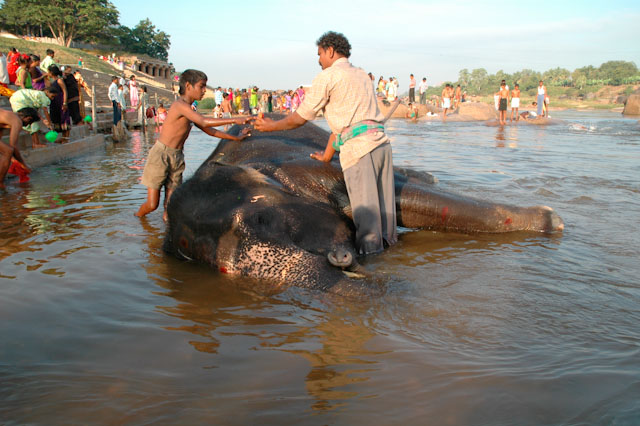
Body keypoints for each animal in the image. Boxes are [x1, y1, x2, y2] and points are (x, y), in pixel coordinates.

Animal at [162, 118, 564, 294]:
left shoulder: (306, 168)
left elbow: (404, 198)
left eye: (261, 218)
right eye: (220, 269)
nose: (342, 259)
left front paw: (552, 221)